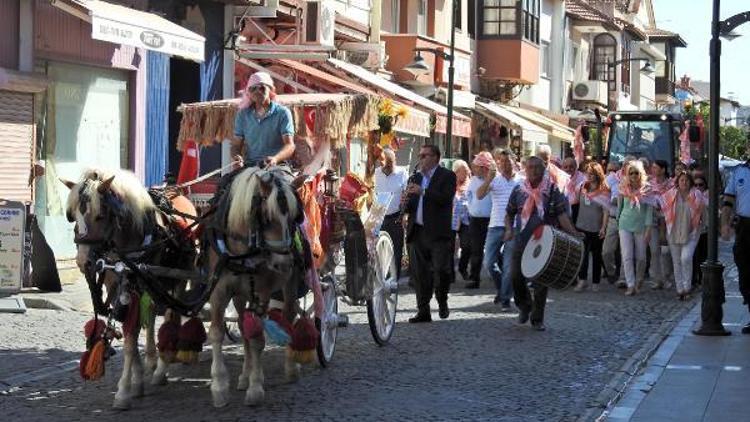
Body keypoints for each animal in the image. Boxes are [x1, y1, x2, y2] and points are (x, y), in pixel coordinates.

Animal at [206, 166, 306, 408]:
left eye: (294, 217)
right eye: (266, 217)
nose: (284, 263)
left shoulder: (262, 292)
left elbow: (258, 339)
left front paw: (255, 387)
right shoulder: (219, 291)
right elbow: (217, 333)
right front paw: (219, 386)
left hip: (290, 285)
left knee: (289, 316)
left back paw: (290, 367)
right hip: (240, 294)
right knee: (243, 325)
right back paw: (244, 375)